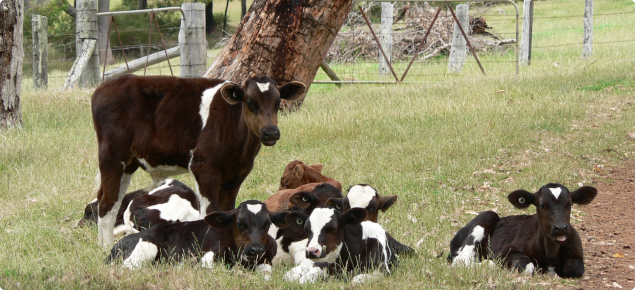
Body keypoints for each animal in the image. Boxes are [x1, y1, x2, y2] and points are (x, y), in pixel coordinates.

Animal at [91, 75, 306, 247]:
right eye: (250, 102)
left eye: (278, 103)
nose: (271, 132)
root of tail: (107, 85)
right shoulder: (204, 168)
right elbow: (209, 213)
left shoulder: (236, 176)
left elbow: (227, 211)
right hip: (112, 157)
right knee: (107, 203)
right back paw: (107, 247)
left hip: (128, 164)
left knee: (108, 200)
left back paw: (101, 245)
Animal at [108, 199, 290, 276]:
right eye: (240, 223)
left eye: (268, 224)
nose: (256, 249)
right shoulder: (208, 258)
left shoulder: (266, 261)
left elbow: (266, 273)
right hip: (146, 248)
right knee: (127, 268)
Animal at [444, 184, 600, 278]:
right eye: (542, 205)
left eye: (570, 205)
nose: (560, 228)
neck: (550, 255)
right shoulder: (506, 252)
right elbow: (529, 267)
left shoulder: (576, 254)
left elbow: (574, 269)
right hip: (487, 216)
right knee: (461, 261)